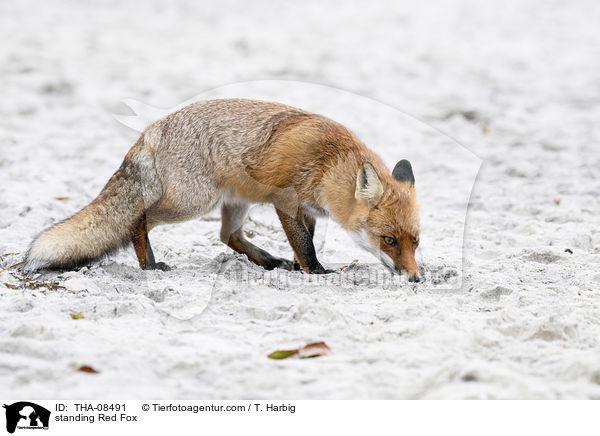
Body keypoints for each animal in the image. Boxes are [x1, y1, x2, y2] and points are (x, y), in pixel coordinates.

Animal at [22, 98, 418, 282]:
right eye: (388, 240)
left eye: (415, 241)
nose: (415, 278)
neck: (330, 162)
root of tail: (151, 129)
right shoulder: (287, 201)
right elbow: (305, 243)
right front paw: (316, 272)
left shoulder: (306, 209)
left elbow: (302, 240)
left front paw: (296, 265)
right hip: (194, 202)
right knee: (140, 218)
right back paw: (149, 264)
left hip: (234, 202)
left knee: (228, 236)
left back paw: (266, 260)